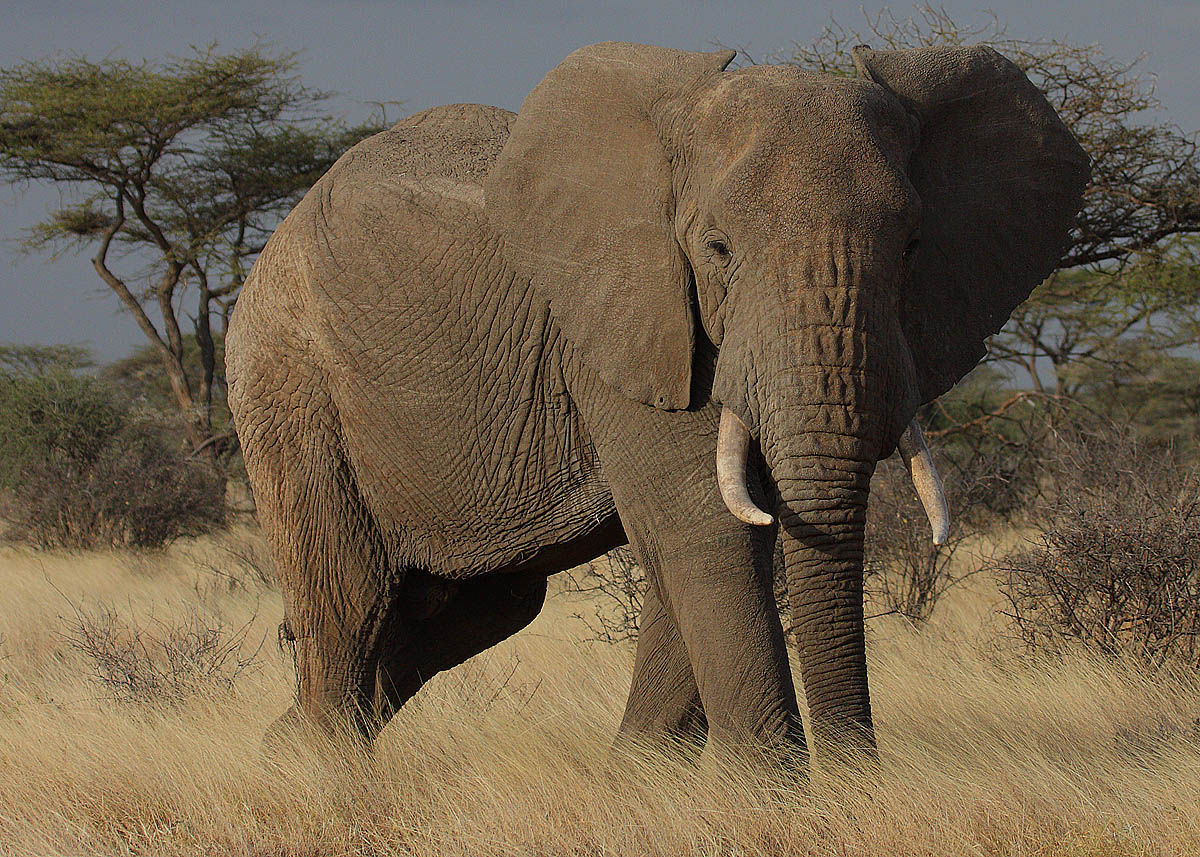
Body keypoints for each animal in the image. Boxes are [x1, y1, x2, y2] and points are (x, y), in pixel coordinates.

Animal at [225, 43, 1089, 758]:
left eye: (912, 247)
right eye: (717, 249)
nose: (862, 777)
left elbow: (717, 533)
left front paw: (642, 778)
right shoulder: (622, 321)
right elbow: (708, 522)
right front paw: (767, 793)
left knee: (485, 603)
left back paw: (280, 743)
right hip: (287, 378)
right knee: (351, 594)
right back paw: (318, 768)